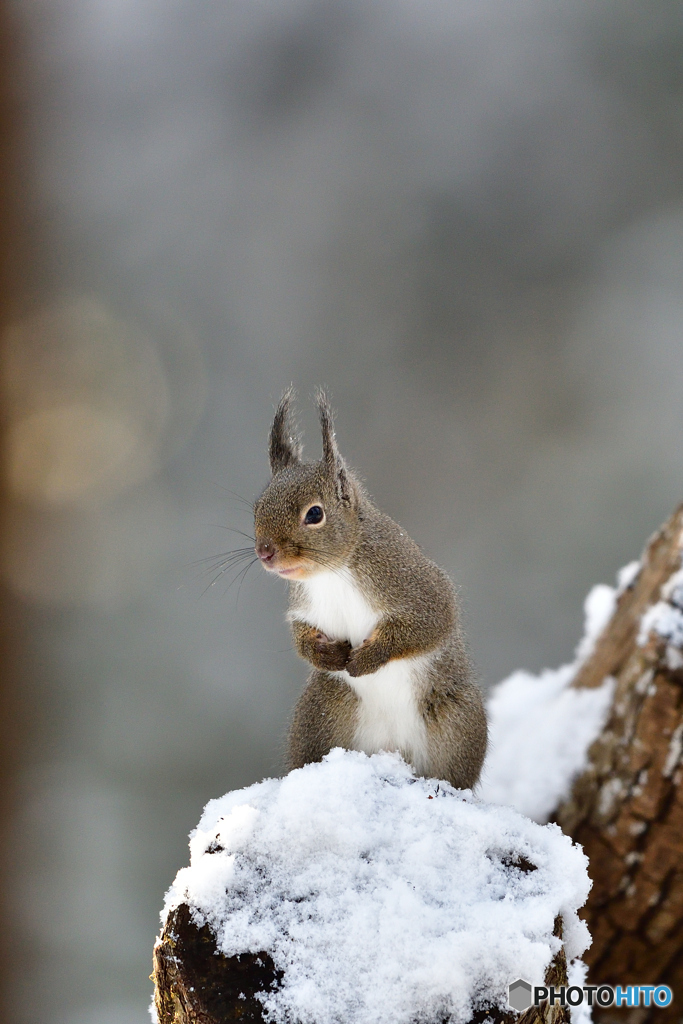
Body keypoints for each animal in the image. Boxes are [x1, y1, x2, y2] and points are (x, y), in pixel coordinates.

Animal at [252, 387, 485, 786]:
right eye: (256, 508)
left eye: (315, 513)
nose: (265, 551)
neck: (332, 573)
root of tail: (392, 751)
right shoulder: (305, 607)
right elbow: (302, 636)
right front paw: (326, 655)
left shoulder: (412, 583)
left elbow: (429, 624)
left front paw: (368, 658)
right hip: (322, 713)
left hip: (457, 720)